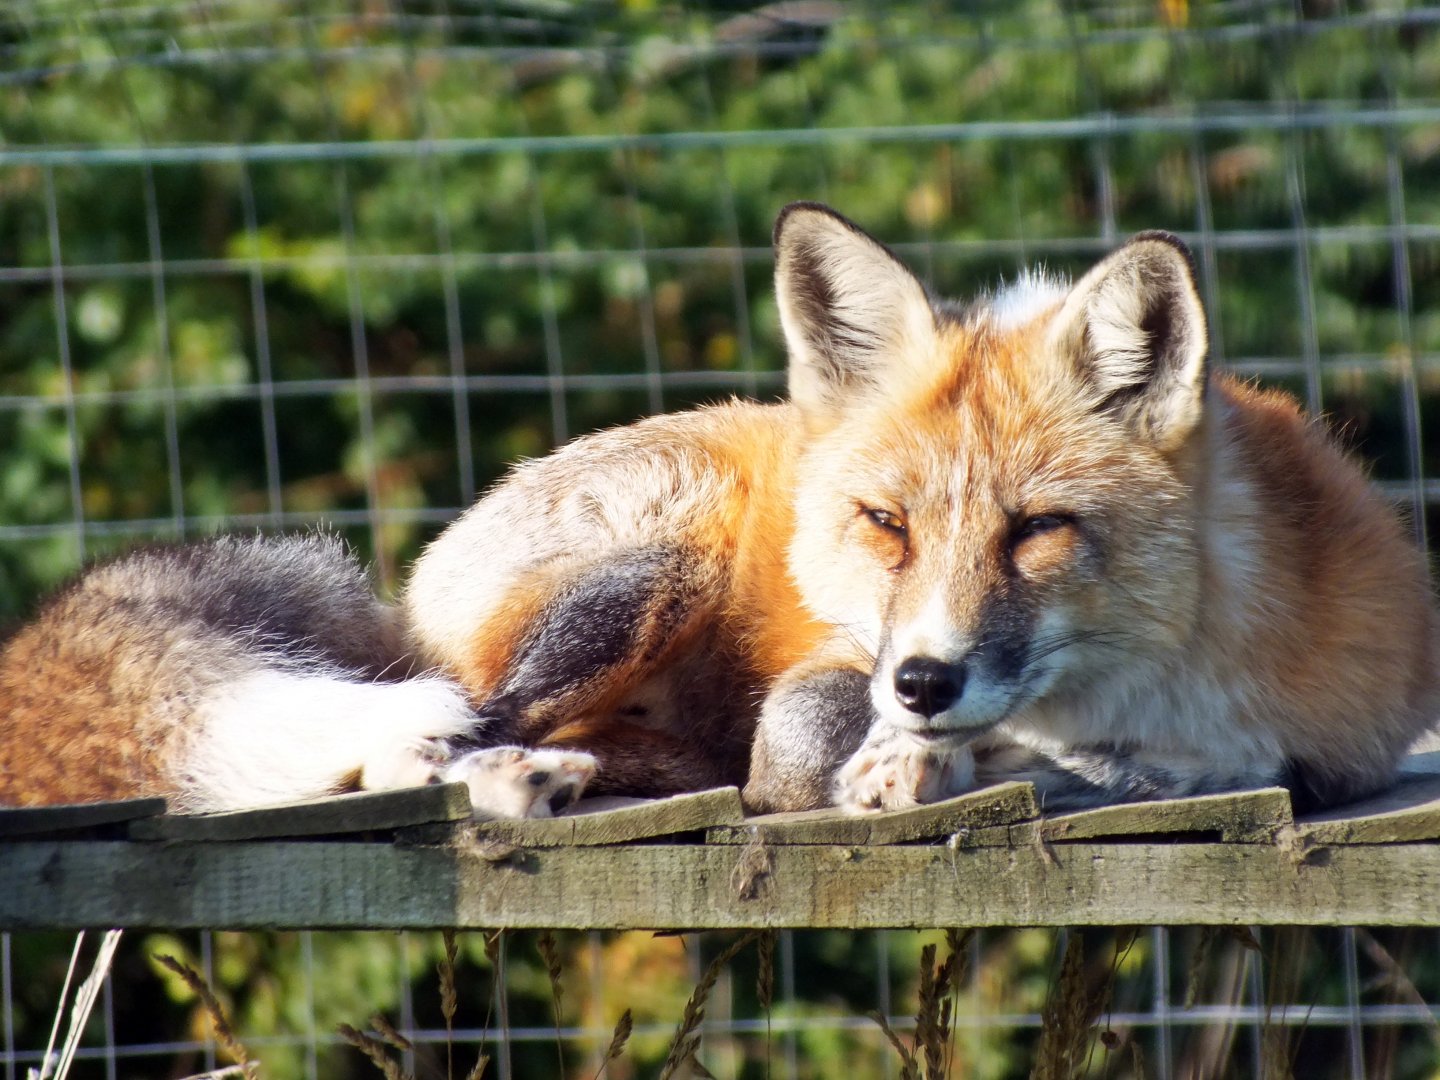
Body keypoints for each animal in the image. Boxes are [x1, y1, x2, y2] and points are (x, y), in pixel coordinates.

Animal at [2, 201, 1435, 819]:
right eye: (887, 525)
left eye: (1037, 531)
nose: (921, 682)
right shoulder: (829, 671)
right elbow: (801, 755)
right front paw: (914, 763)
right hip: (643, 578)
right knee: (457, 719)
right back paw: (483, 768)